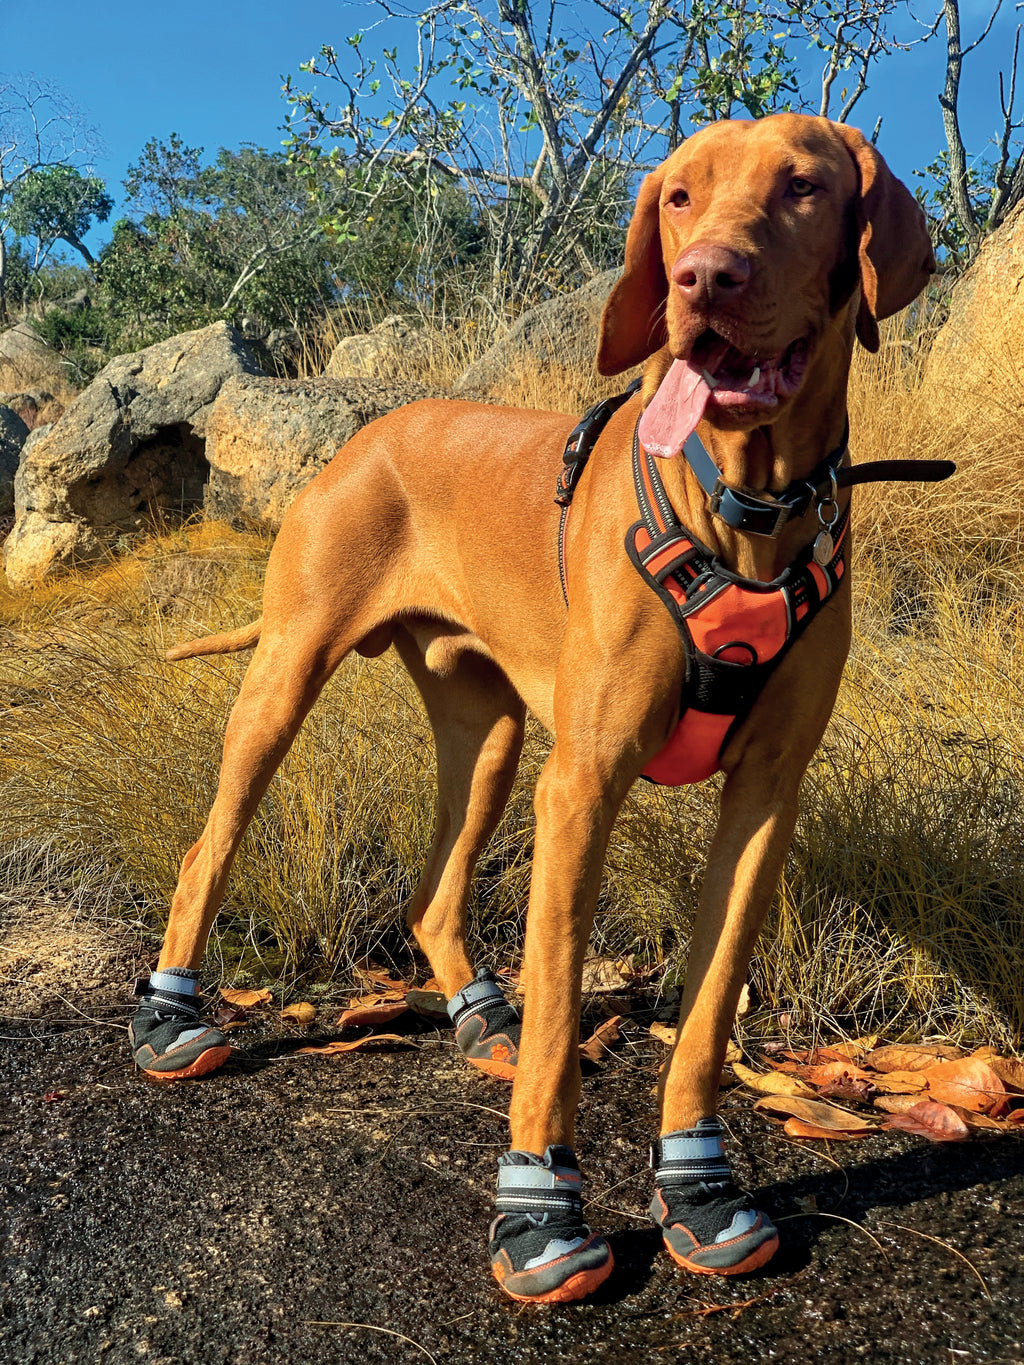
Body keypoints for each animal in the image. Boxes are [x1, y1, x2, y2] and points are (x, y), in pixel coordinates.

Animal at [132, 114, 944, 1299]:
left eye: (801, 186)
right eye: (679, 197)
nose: (705, 278)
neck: (743, 506)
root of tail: (368, 434)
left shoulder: (765, 799)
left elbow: (707, 1009)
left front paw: (697, 1183)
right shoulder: (584, 783)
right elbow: (564, 1005)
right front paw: (539, 1207)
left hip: (490, 737)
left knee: (432, 892)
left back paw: (479, 1019)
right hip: (286, 678)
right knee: (209, 844)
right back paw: (171, 1016)